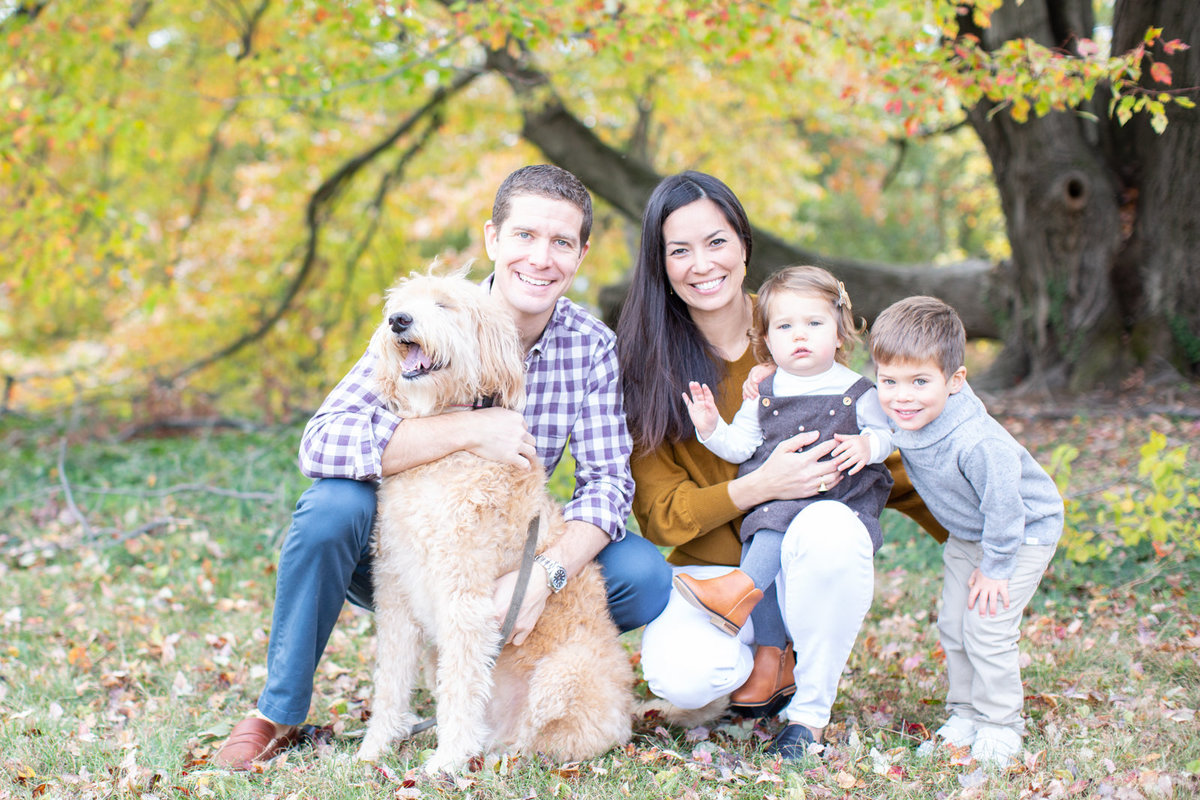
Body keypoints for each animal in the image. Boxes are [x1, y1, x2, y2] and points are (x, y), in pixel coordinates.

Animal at [352, 268, 633, 777]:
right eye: (402, 302)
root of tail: (628, 715)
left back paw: (497, 755)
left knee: (545, 740)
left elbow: (462, 689)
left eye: (444, 305)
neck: (446, 447)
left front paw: (446, 761)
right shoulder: (395, 589)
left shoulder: (464, 599)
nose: (398, 320)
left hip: (562, 676)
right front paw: (375, 747)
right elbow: (390, 680)